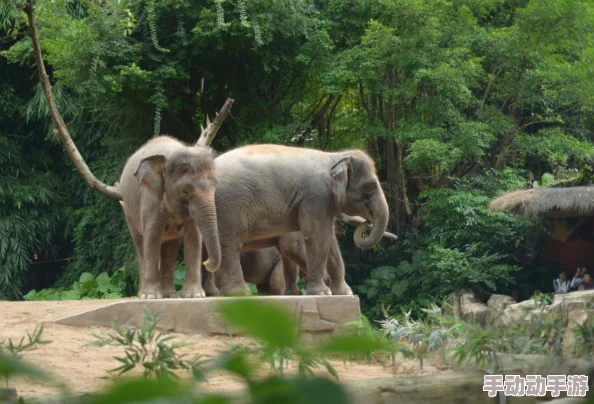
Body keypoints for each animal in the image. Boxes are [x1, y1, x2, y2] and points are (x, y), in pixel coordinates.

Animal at [117, 136, 221, 296]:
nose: (207, 262)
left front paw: (194, 295)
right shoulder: (150, 200)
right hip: (128, 211)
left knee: (170, 249)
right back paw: (144, 294)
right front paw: (150, 296)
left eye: (215, 185)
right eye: (185, 191)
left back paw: (169, 294)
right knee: (141, 245)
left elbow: (194, 238)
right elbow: (152, 237)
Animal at [209, 144, 388, 296]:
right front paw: (322, 293)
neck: (334, 156)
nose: (367, 223)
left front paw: (345, 293)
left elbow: (329, 240)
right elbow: (317, 236)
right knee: (229, 244)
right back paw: (238, 293)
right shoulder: (317, 196)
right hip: (228, 207)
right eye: (370, 187)